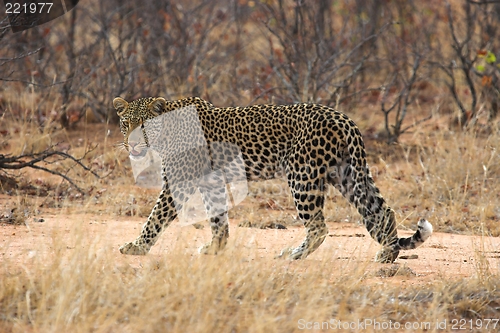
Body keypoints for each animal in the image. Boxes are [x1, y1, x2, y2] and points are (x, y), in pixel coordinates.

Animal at [114, 96, 434, 262]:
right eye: (126, 122)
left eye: (144, 125)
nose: (132, 144)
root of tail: (344, 119)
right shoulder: (211, 182)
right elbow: (218, 218)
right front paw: (216, 248)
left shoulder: (178, 183)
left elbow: (155, 217)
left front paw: (137, 246)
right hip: (347, 173)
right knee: (382, 211)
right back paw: (388, 255)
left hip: (302, 176)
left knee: (319, 226)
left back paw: (294, 254)